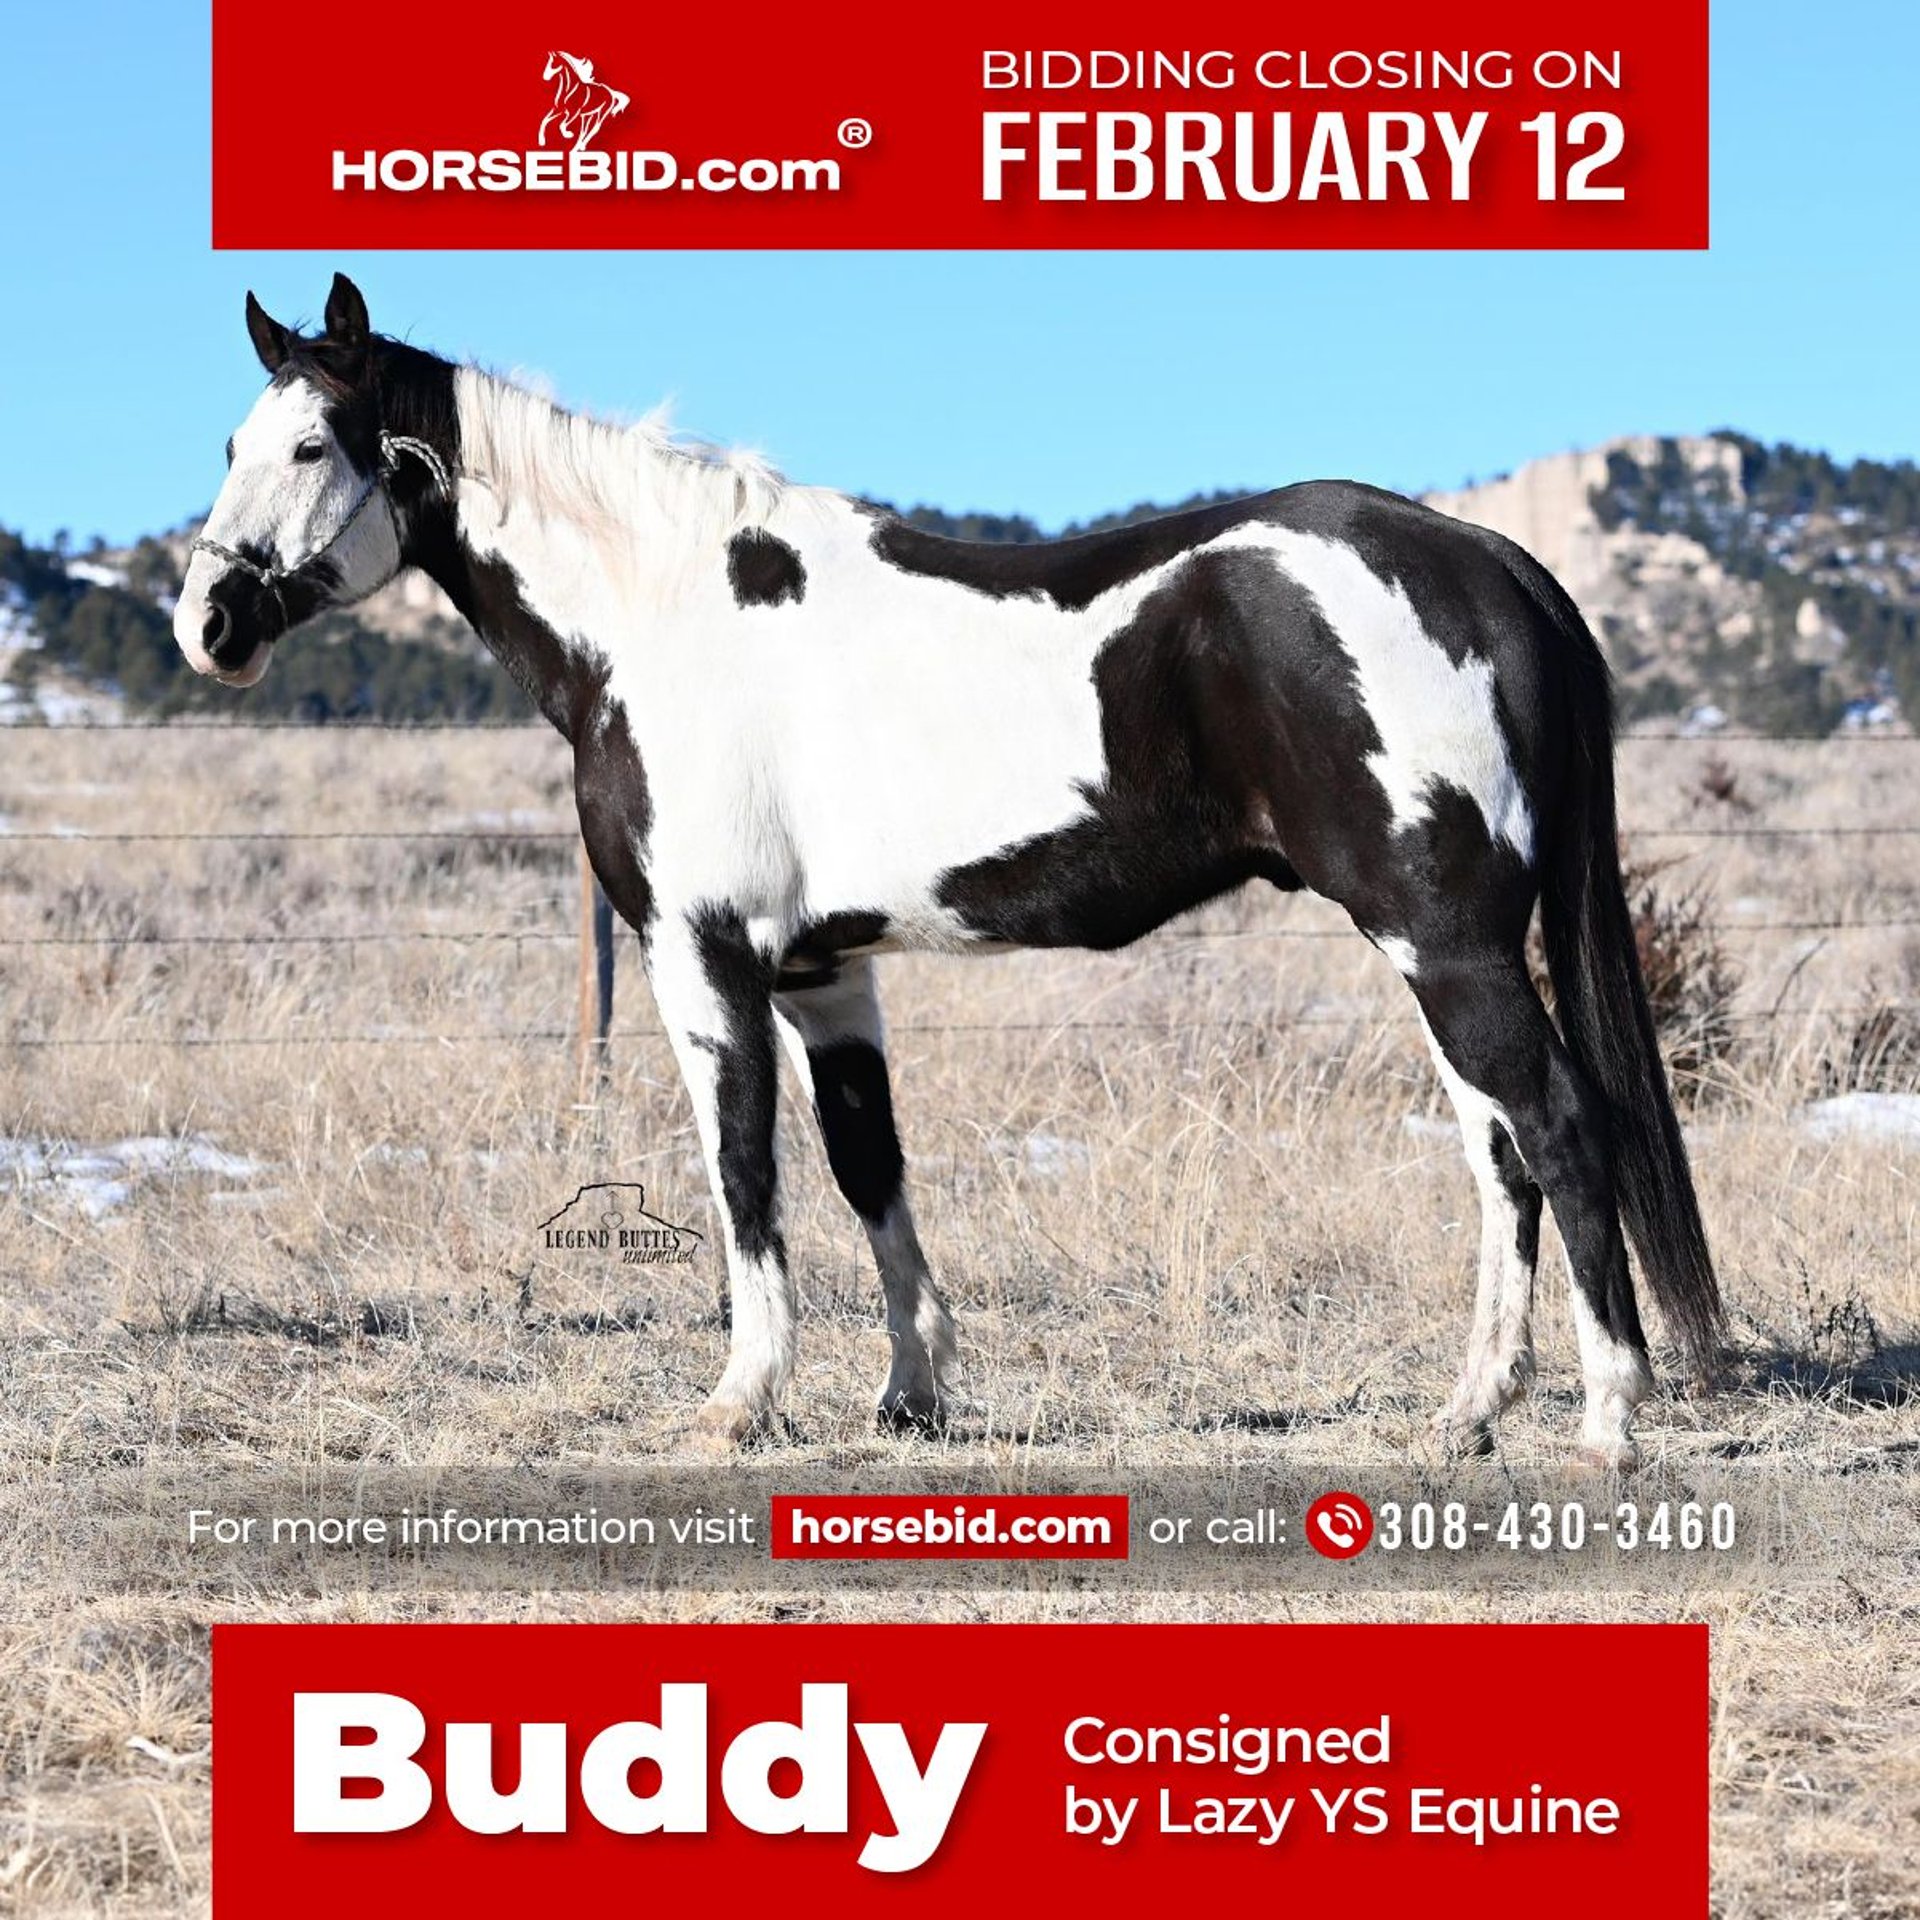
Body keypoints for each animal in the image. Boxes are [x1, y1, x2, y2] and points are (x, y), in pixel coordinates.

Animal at [174, 274, 1723, 1467]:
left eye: (312, 446)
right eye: (232, 438)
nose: (209, 624)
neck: (660, 619)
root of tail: (1490, 561)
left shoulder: (705, 956)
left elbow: (744, 1170)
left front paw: (740, 1403)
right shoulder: (824, 970)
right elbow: (870, 1167)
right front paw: (912, 1394)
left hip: (1447, 941)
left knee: (1560, 1129)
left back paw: (1607, 1420)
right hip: (1430, 949)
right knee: (1498, 1153)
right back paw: (1468, 1413)